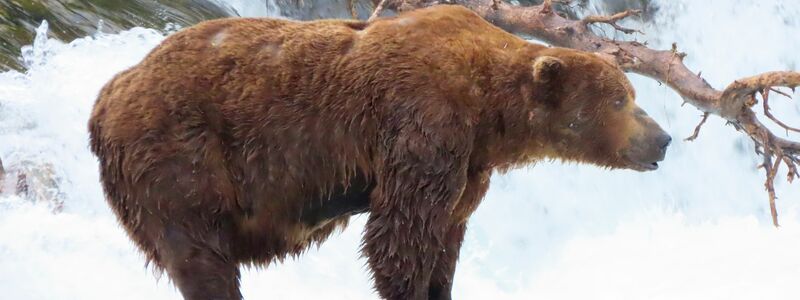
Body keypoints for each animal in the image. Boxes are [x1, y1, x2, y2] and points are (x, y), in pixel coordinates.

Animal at [89, 4, 668, 300]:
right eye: (621, 99)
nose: (661, 138)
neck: (490, 112)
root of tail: (106, 97)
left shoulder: (468, 166)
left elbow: (446, 236)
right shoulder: (423, 127)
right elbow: (400, 236)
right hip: (178, 157)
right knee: (200, 256)